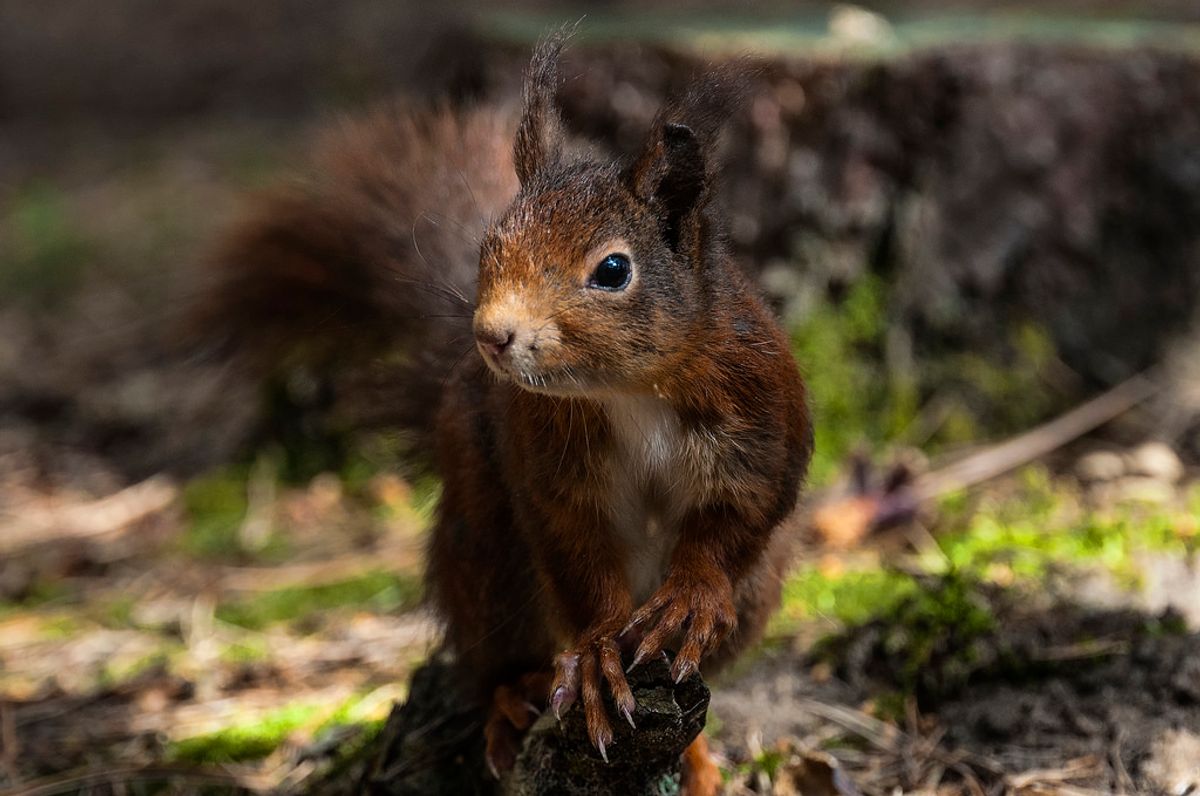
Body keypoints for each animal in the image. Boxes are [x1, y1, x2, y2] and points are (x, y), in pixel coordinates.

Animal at [192, 31, 812, 792]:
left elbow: (743, 515)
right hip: (489, 558)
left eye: (613, 270)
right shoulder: (548, 462)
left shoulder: (759, 416)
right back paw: (515, 696)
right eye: (490, 247)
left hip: (754, 596)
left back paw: (693, 754)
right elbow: (579, 555)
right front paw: (600, 653)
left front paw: (692, 590)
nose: (492, 335)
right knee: (494, 653)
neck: (627, 391)